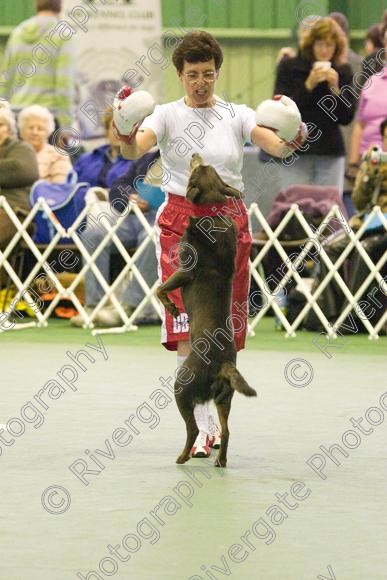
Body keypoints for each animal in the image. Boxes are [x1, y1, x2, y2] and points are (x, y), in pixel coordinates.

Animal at [156, 153, 256, 466]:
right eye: (206, 167)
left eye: (196, 169)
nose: (195, 154)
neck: (211, 213)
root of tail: (222, 364)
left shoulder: (185, 270)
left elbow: (160, 289)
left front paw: (172, 309)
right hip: (226, 398)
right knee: (226, 430)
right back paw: (220, 460)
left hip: (182, 388)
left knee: (191, 427)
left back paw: (183, 456)